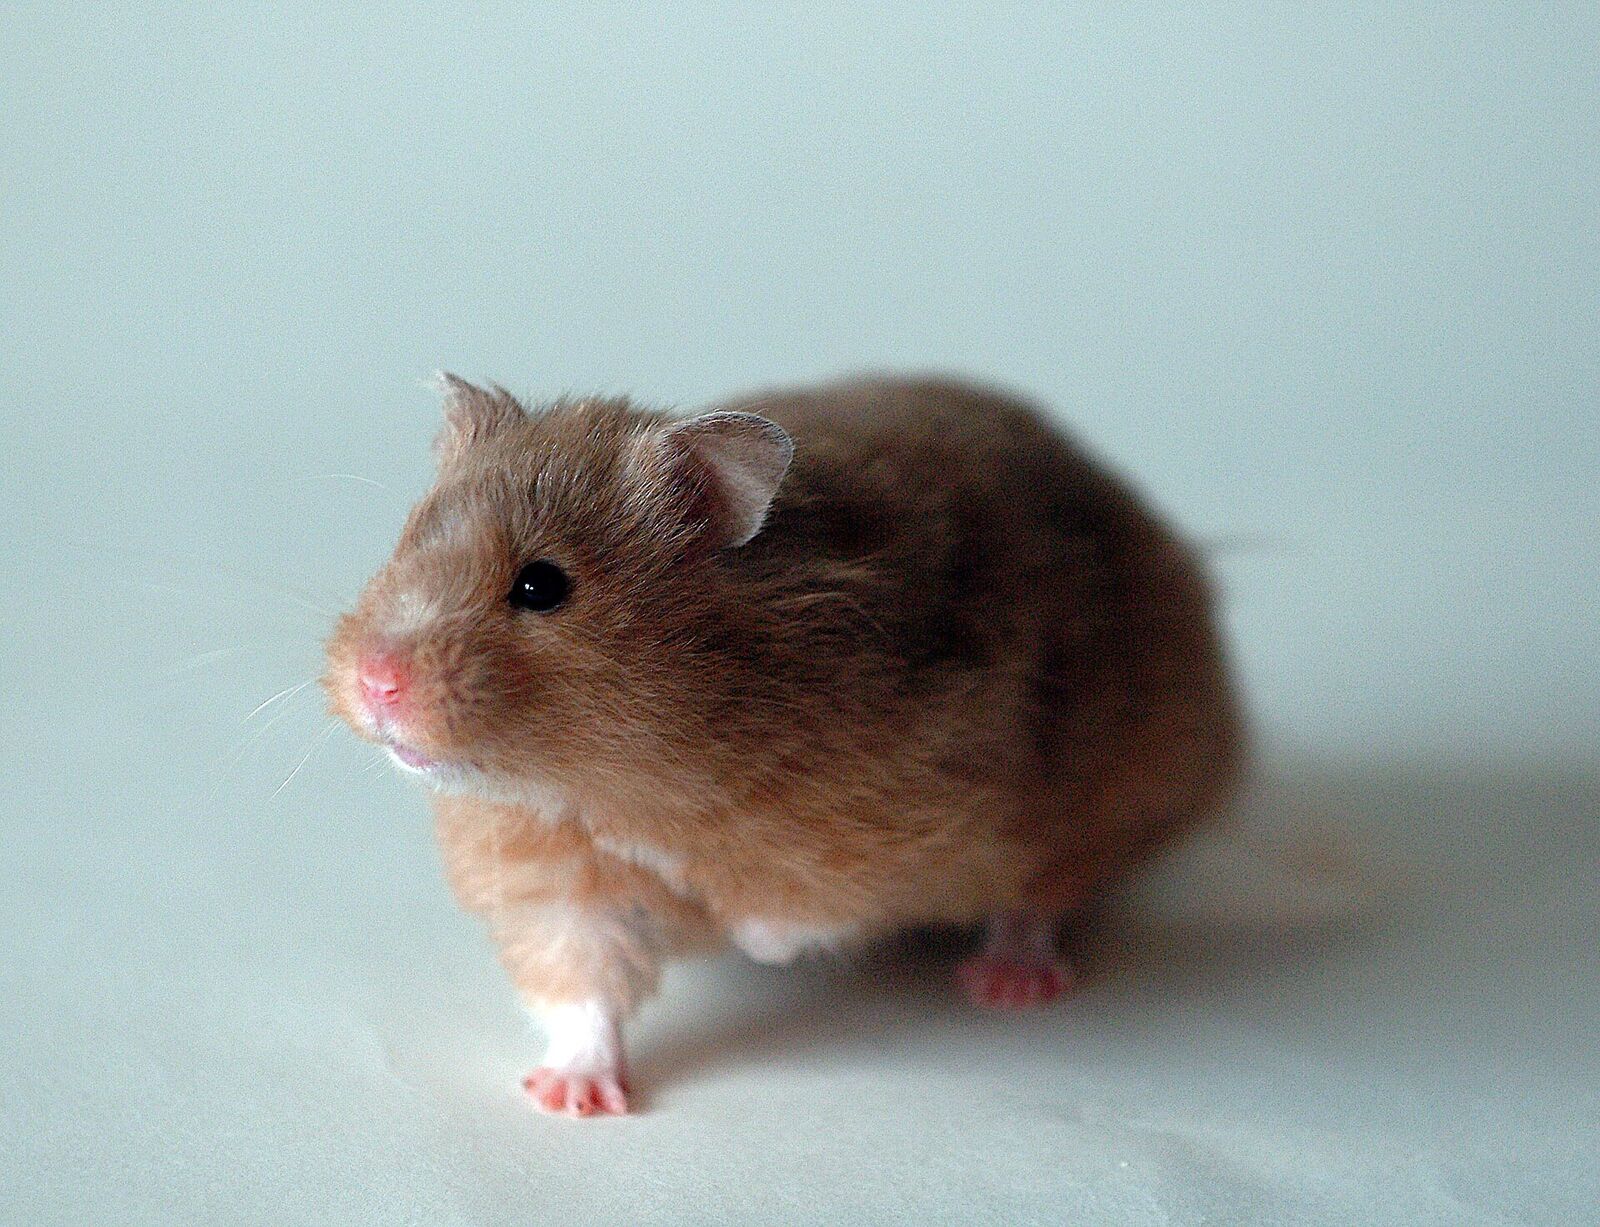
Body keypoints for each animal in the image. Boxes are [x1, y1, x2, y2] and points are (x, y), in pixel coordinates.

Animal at [324, 374, 1243, 1117]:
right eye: (403, 541)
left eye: (541, 585)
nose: (376, 682)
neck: (619, 781)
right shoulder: (557, 884)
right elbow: (583, 991)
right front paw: (568, 1100)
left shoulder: (905, 807)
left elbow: (800, 907)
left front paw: (753, 936)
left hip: (1123, 772)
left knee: (1046, 891)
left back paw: (1008, 986)